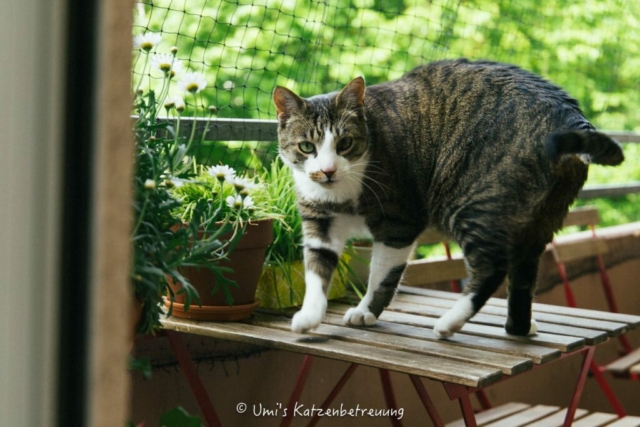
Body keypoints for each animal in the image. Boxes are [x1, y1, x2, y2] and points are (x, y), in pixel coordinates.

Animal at [272, 59, 624, 338]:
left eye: (344, 143)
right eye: (307, 147)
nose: (328, 170)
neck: (340, 192)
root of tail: (569, 115)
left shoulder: (399, 223)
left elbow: (382, 276)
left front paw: (365, 312)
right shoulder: (320, 224)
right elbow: (316, 271)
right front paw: (309, 317)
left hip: (470, 202)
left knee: (492, 268)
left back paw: (448, 324)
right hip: (539, 222)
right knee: (523, 279)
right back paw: (518, 329)